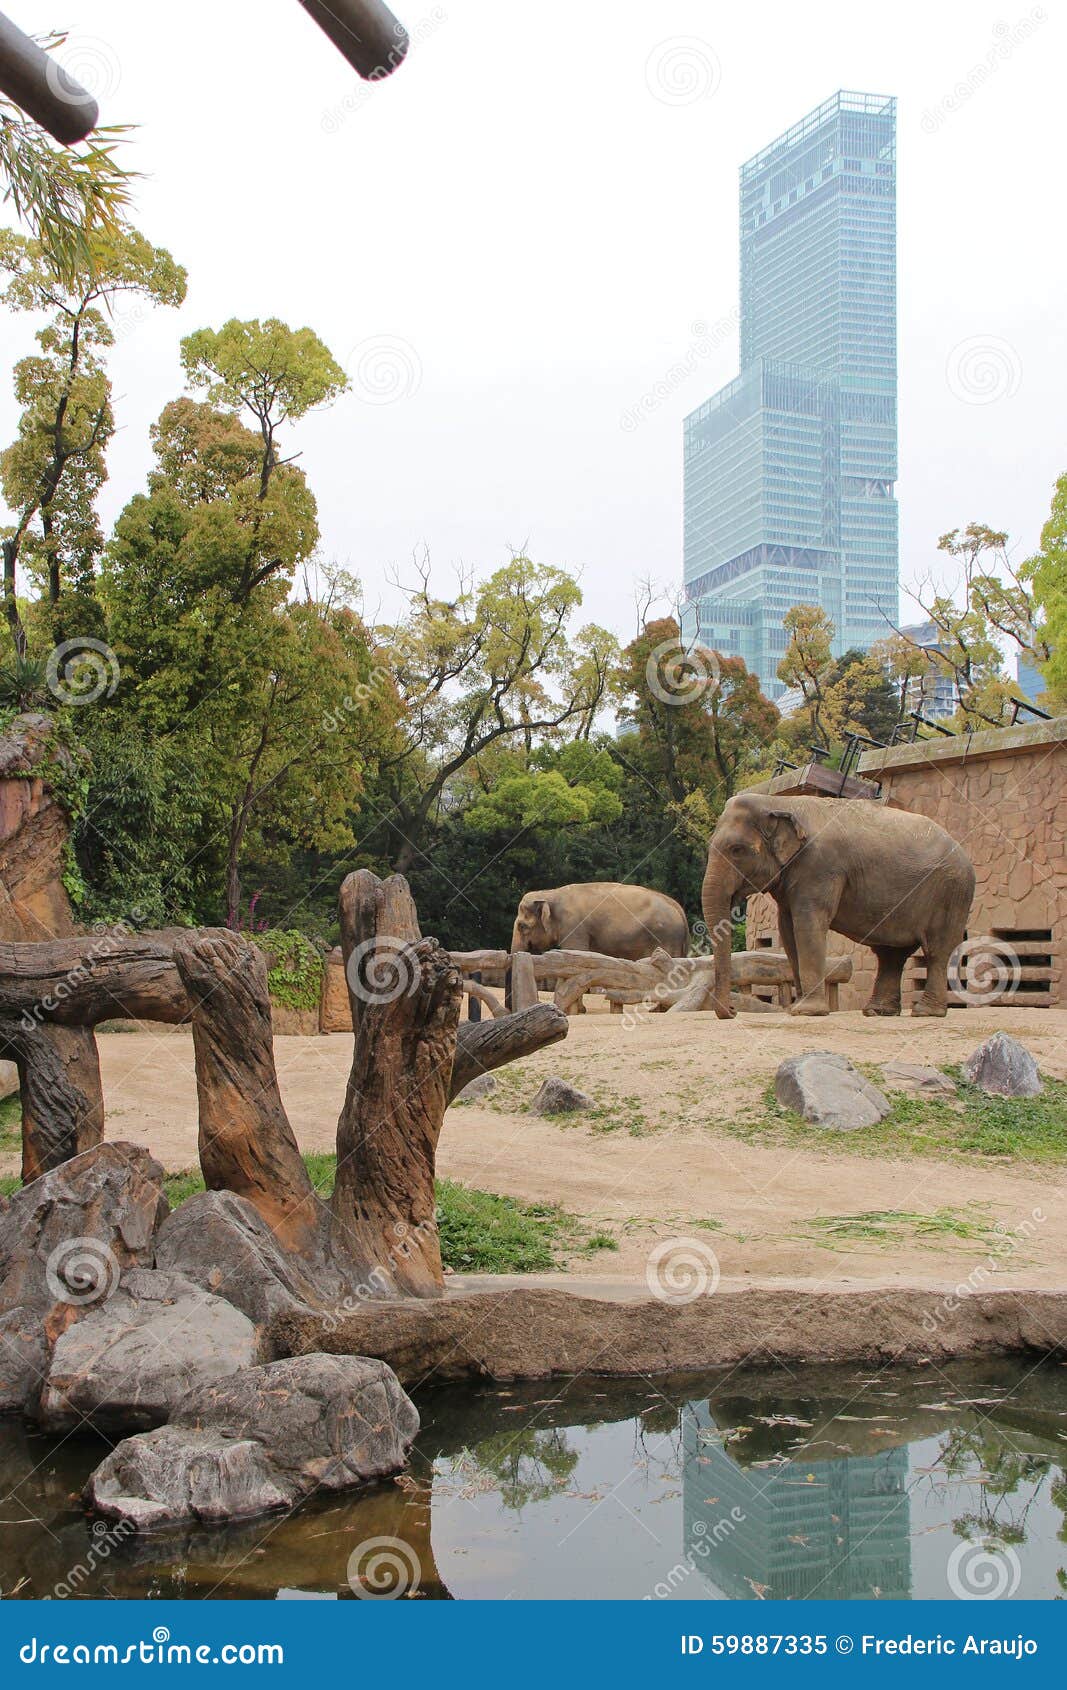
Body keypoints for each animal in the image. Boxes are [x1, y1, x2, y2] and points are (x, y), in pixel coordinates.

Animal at [511, 883, 689, 961]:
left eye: (522, 926)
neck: (551, 894)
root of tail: (678, 908)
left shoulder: (574, 926)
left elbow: (576, 951)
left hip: (666, 937)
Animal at [701, 793, 975, 1019]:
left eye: (737, 850)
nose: (733, 1010)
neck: (780, 802)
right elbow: (788, 930)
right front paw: (796, 1008)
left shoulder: (820, 867)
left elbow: (808, 924)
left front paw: (807, 1012)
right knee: (891, 955)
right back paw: (877, 1012)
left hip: (951, 892)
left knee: (936, 950)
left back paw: (925, 1012)